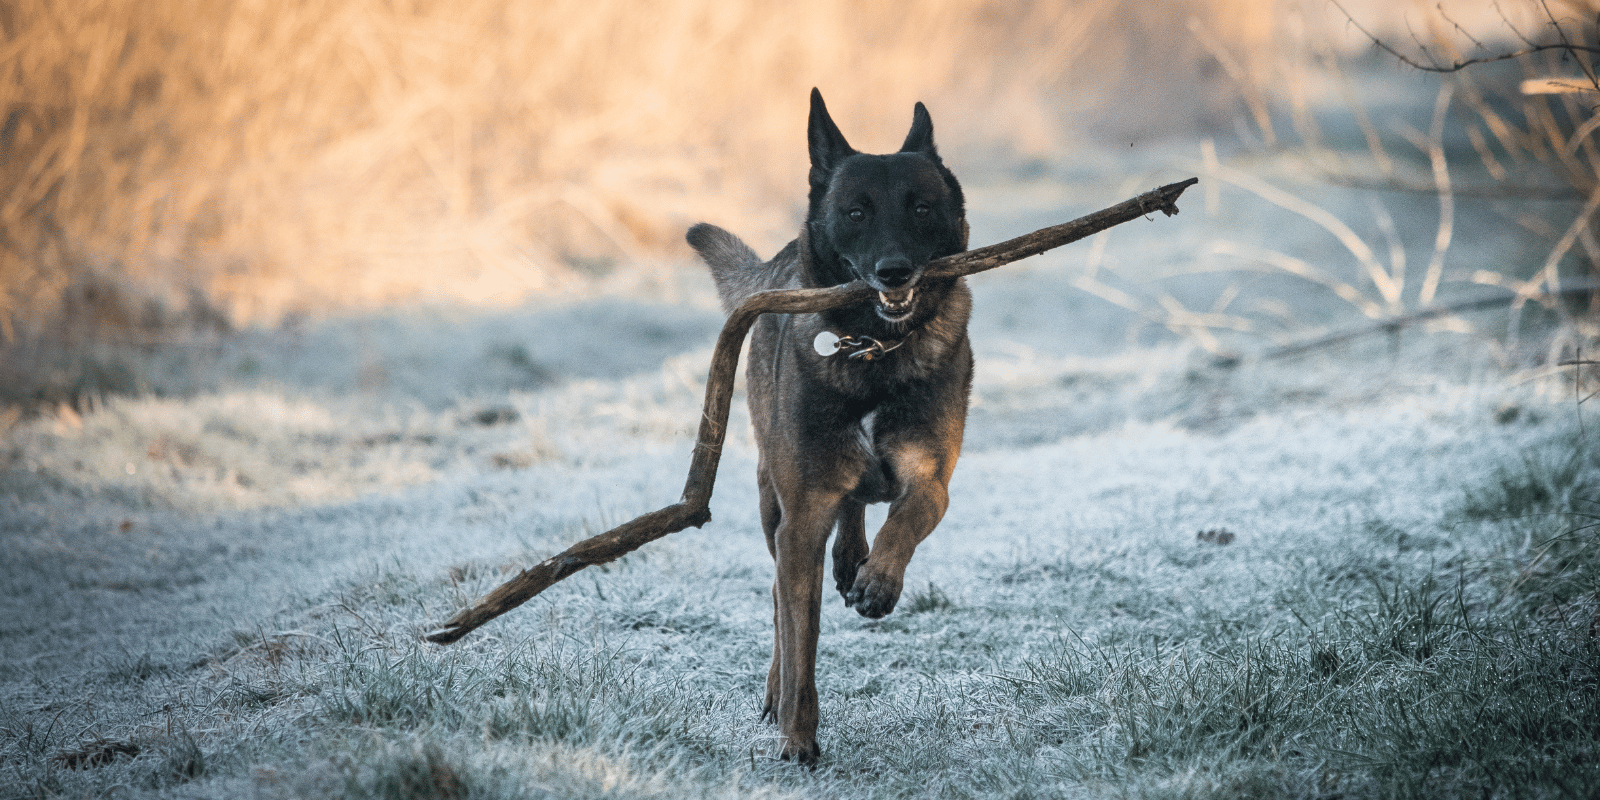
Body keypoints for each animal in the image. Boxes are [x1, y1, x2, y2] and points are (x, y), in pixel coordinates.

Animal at [684, 89, 966, 761]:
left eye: (921, 207)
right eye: (856, 212)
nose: (894, 271)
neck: (873, 349)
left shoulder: (932, 479)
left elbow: (907, 517)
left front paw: (879, 580)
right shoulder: (802, 516)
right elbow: (800, 639)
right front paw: (797, 736)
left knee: (861, 505)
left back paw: (855, 558)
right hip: (773, 504)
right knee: (779, 604)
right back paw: (776, 688)